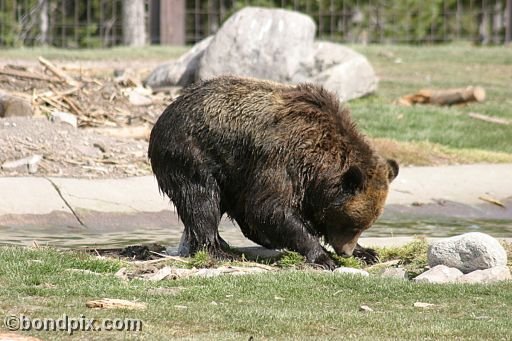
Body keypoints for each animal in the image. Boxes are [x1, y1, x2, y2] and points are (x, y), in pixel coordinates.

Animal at [146, 76, 398, 268]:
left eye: (364, 226)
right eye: (350, 224)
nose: (346, 251)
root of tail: (165, 112)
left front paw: (367, 252)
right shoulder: (279, 160)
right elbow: (269, 208)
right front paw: (323, 257)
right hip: (191, 153)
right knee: (201, 199)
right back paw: (219, 250)